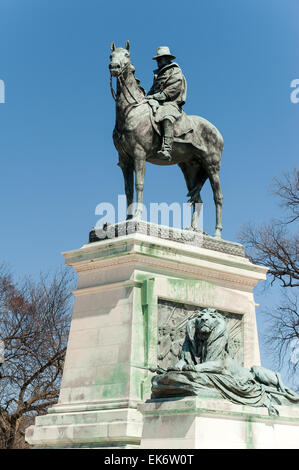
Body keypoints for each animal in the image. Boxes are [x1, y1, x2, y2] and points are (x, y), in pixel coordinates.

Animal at [109, 40, 224, 237]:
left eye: (126, 55)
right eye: (111, 55)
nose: (114, 67)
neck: (131, 111)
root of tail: (216, 131)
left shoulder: (139, 155)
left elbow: (139, 185)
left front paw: (137, 216)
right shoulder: (125, 161)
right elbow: (128, 189)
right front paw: (128, 219)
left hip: (211, 166)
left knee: (218, 197)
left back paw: (217, 234)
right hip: (191, 168)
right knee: (198, 199)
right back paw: (193, 231)